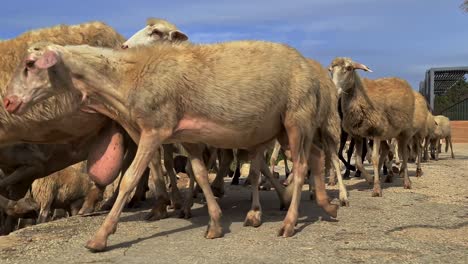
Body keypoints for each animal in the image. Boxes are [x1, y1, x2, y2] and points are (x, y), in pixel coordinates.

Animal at [328, 58, 414, 198]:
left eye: (349, 68)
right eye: (330, 70)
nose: (334, 91)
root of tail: (401, 80)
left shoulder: (376, 132)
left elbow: (373, 159)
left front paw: (377, 189)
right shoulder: (358, 135)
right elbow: (358, 161)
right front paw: (369, 179)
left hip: (403, 132)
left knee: (404, 155)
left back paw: (406, 181)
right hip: (386, 133)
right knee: (386, 150)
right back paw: (379, 176)